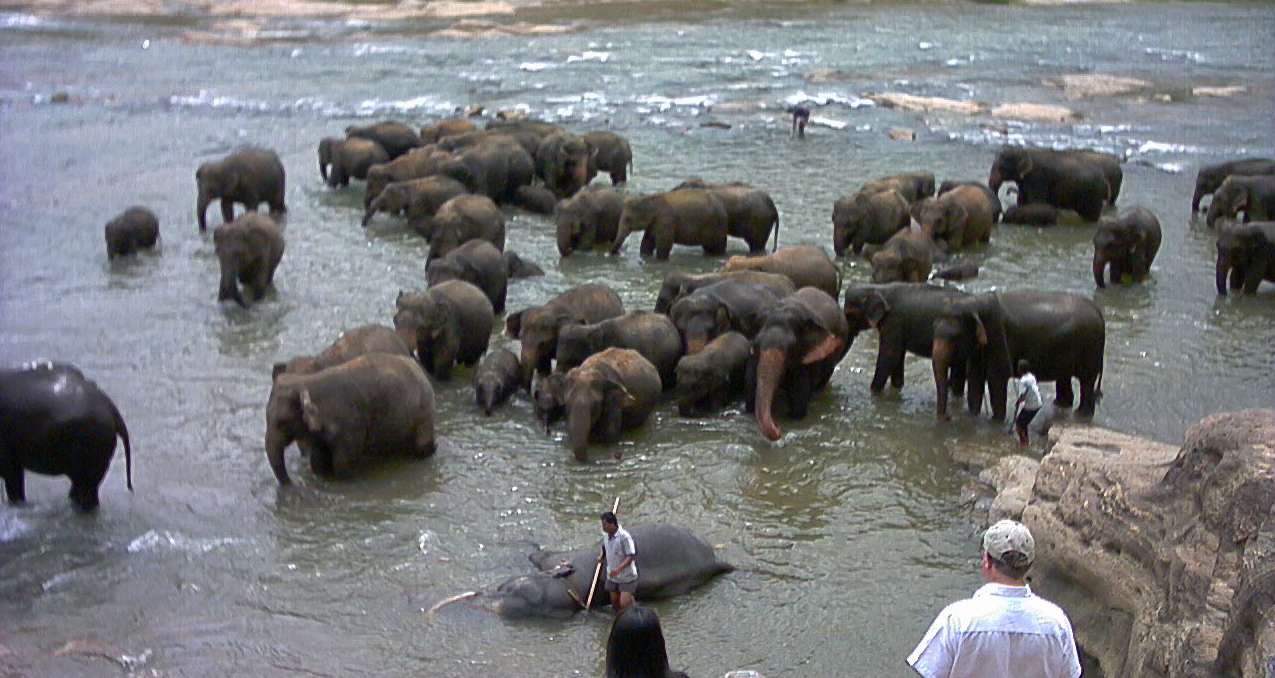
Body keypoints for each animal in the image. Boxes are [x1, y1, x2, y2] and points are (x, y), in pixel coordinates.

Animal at [264, 353, 436, 485]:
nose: (294, 483)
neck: (306, 381)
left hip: (423, 412)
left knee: (422, 448)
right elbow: (317, 462)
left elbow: (342, 463)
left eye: (282, 422)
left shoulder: (351, 424)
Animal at [445, 524, 732, 620]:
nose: (477, 595)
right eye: (506, 584)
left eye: (520, 591)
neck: (568, 583)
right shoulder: (552, 561)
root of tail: (713, 557)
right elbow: (537, 555)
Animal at [748, 287, 850, 441]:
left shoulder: (807, 361)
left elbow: (798, 406)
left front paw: (792, 418)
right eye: (756, 344)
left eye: (791, 348)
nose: (778, 428)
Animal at [842, 283, 972, 396]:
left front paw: (874, 392)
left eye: (848, 314)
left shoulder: (893, 321)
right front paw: (896, 389)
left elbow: (889, 356)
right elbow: (898, 356)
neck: (878, 288)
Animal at [930, 291, 1105, 421]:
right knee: (1065, 379)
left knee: (1087, 382)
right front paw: (972, 416)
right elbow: (975, 379)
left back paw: (1081, 415)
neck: (976, 303)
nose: (947, 417)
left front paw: (996, 421)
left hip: (1090, 347)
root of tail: (1098, 310)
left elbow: (996, 381)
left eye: (954, 338)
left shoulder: (999, 339)